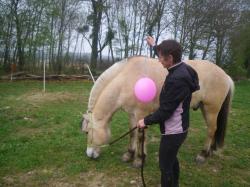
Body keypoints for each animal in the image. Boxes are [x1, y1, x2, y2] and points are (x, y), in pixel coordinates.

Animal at [82, 55, 234, 167]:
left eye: (88, 132)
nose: (89, 154)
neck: (128, 79)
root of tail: (226, 75)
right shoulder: (132, 114)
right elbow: (132, 134)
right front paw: (129, 155)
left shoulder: (141, 114)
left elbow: (140, 136)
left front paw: (139, 160)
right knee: (214, 129)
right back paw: (211, 151)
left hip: (211, 109)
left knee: (211, 129)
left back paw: (203, 155)